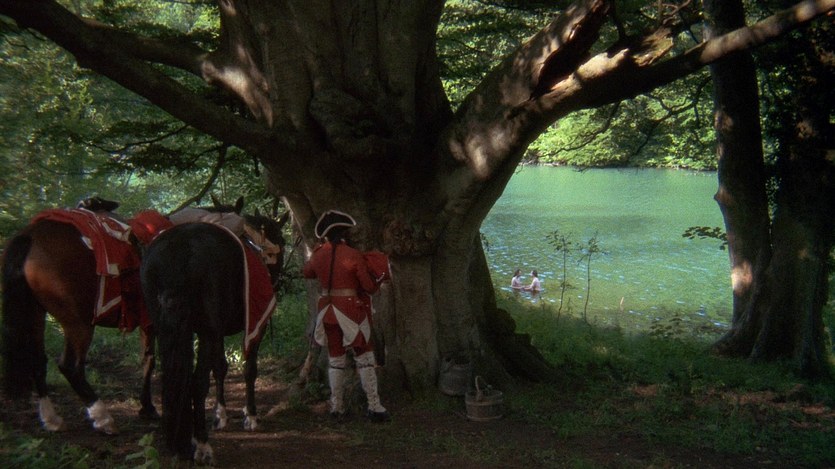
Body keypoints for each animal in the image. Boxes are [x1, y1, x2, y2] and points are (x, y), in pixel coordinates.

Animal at [140, 211, 287, 464]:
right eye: (282, 242)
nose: (277, 279)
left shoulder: (217, 332)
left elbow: (220, 367)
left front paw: (220, 414)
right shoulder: (253, 326)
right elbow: (249, 369)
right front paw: (251, 415)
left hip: (169, 327)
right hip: (207, 330)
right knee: (197, 382)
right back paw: (201, 444)